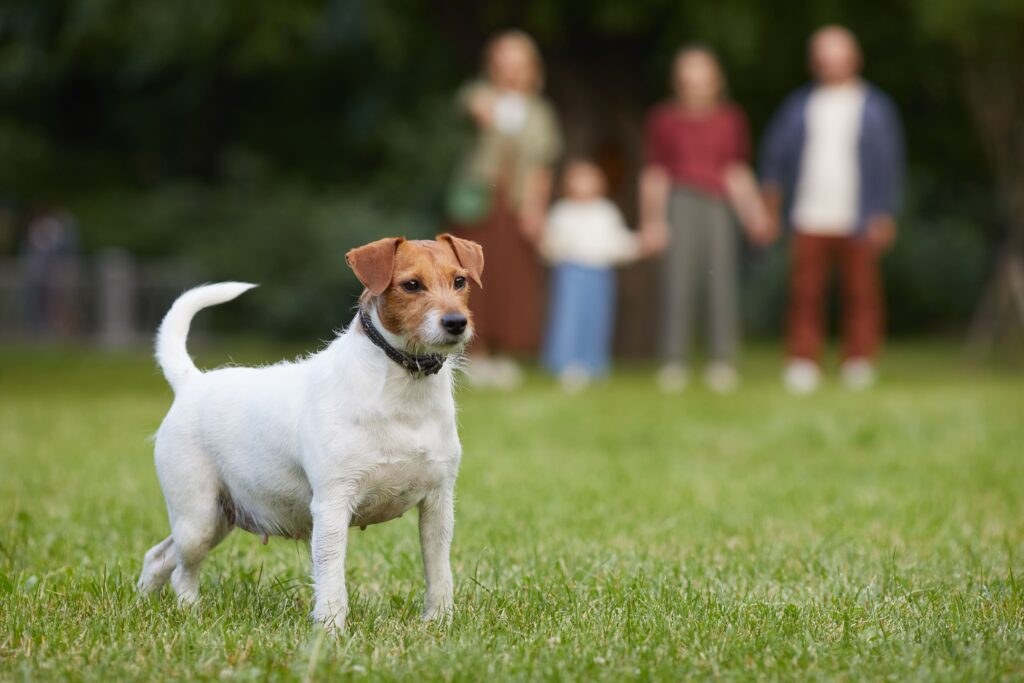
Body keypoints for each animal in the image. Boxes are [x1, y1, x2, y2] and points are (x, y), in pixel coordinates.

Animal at [136, 233, 483, 630]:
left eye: (460, 281)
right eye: (412, 285)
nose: (456, 322)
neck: (403, 388)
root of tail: (191, 382)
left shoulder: (438, 504)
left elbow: (438, 570)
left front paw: (439, 621)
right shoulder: (332, 504)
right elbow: (331, 575)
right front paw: (330, 629)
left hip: (220, 516)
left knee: (158, 557)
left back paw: (143, 604)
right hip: (198, 517)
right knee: (181, 571)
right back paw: (190, 613)